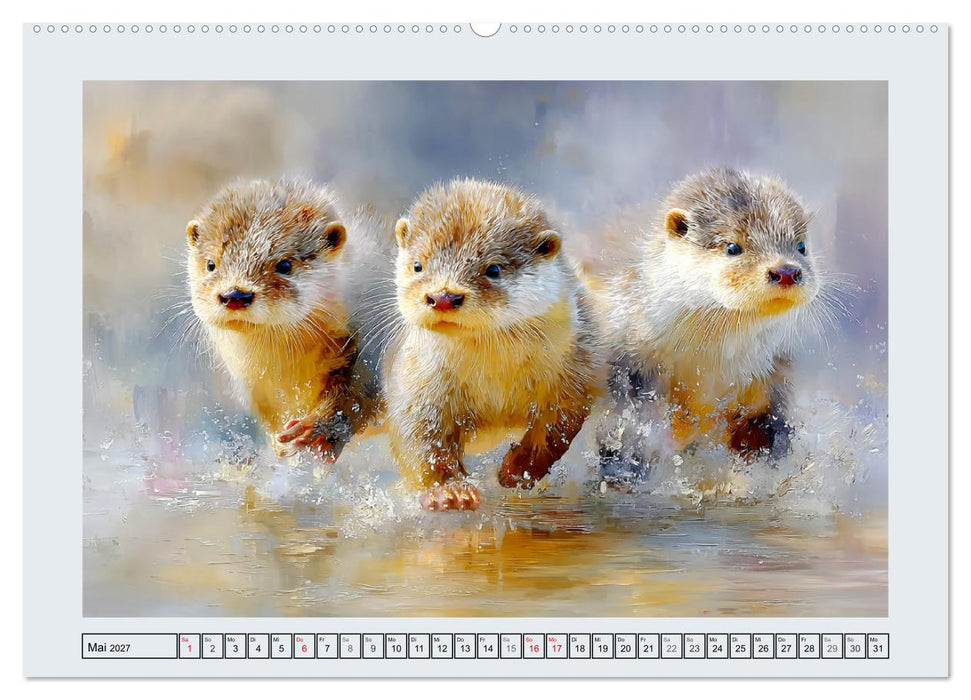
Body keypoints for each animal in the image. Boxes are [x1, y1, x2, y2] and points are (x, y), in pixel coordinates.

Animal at [185, 178, 388, 459]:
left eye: (284, 265)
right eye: (210, 264)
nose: (235, 294)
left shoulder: (370, 343)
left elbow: (356, 394)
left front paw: (317, 429)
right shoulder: (256, 388)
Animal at [385, 179, 603, 511]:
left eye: (494, 269)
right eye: (418, 265)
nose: (444, 297)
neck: (494, 380)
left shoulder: (576, 370)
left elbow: (557, 430)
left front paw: (518, 470)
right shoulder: (417, 383)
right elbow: (422, 441)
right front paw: (450, 491)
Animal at [597, 168, 839, 483]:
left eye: (801, 246)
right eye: (733, 247)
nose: (786, 271)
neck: (708, 367)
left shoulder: (771, 374)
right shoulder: (630, 358)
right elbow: (629, 428)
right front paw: (625, 469)